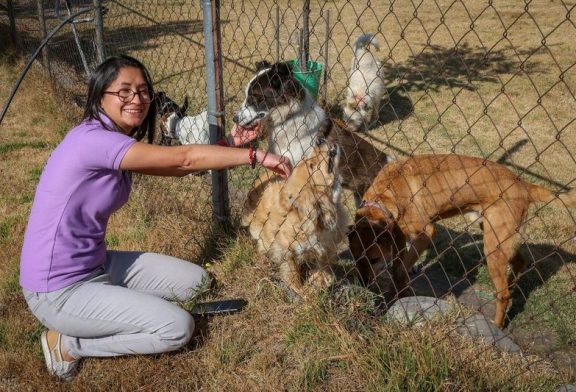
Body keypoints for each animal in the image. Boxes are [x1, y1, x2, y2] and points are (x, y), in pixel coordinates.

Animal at [245, 137, 348, 298]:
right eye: (312, 166)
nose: (319, 140)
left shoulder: (327, 244)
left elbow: (323, 263)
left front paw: (321, 279)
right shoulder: (286, 250)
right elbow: (292, 272)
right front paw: (301, 291)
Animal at [346, 153, 576, 328]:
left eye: (374, 259)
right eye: (356, 258)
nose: (362, 284)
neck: (387, 196)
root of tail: (524, 184)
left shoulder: (426, 232)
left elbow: (400, 269)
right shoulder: (400, 240)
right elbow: (399, 267)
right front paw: (400, 294)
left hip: (493, 247)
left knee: (504, 295)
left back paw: (497, 326)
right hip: (498, 238)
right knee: (519, 262)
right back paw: (511, 284)